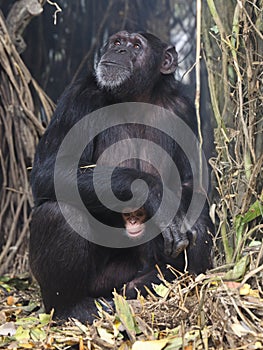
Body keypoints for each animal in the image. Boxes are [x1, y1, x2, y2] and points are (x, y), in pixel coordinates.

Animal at [29, 31, 214, 324]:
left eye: (136, 46)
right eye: (117, 42)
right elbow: (51, 170)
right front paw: (156, 195)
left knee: (197, 225)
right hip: (97, 283)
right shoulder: (78, 98)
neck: (136, 97)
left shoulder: (184, 110)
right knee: (60, 213)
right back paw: (73, 307)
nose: (120, 51)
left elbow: (191, 183)